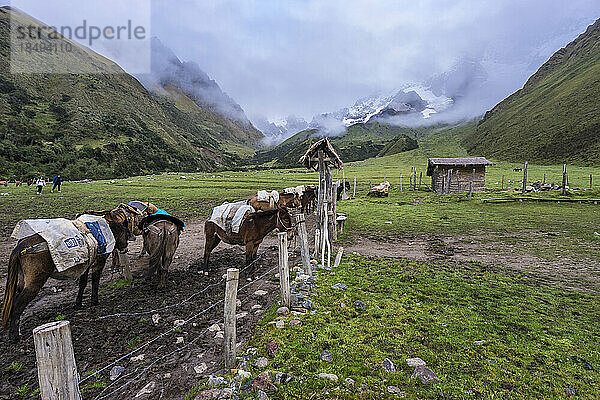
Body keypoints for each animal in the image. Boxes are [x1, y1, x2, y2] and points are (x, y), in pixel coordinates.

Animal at [0, 208, 132, 342]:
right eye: (126, 234)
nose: (125, 249)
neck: (105, 232)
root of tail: (20, 247)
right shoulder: (99, 263)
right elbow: (95, 281)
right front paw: (94, 301)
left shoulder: (85, 266)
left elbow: (82, 284)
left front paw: (78, 304)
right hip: (34, 284)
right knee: (17, 305)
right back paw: (14, 336)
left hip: (21, 282)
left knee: (14, 301)